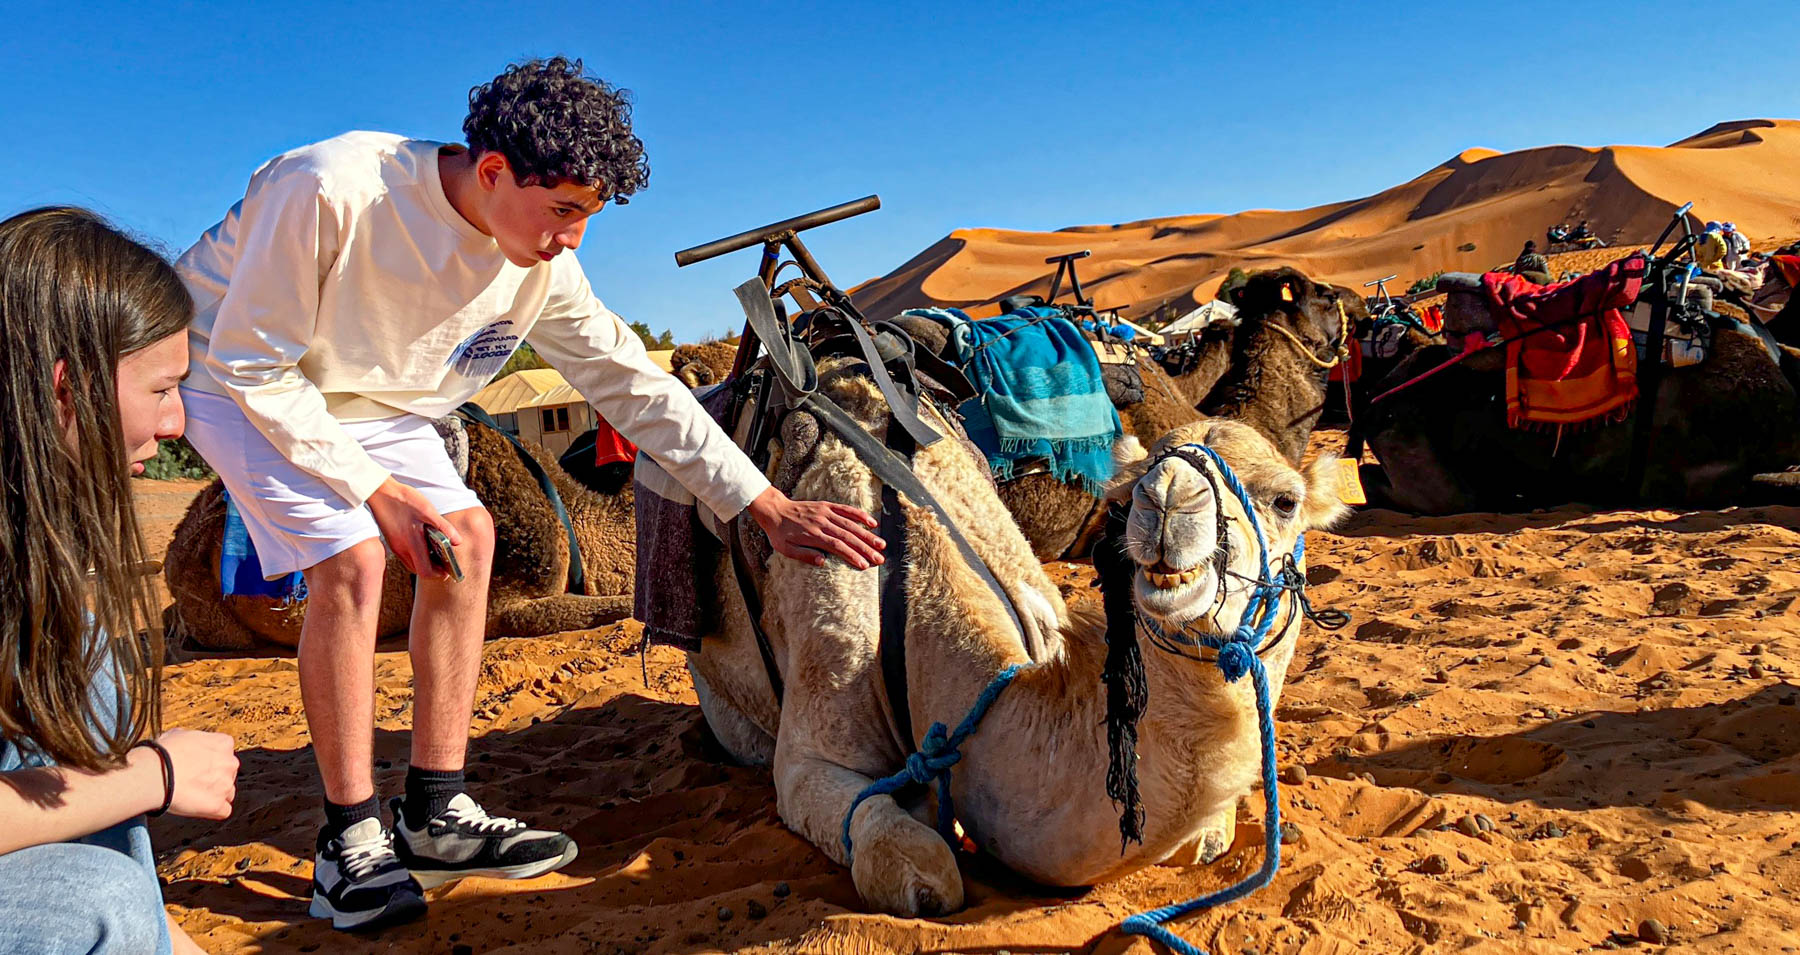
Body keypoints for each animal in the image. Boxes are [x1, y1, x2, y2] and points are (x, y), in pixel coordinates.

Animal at [689, 355, 1346, 915]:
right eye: (1129, 492)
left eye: (1285, 501)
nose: (1167, 500)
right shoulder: (813, 743)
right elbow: (920, 868)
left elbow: (1206, 839)